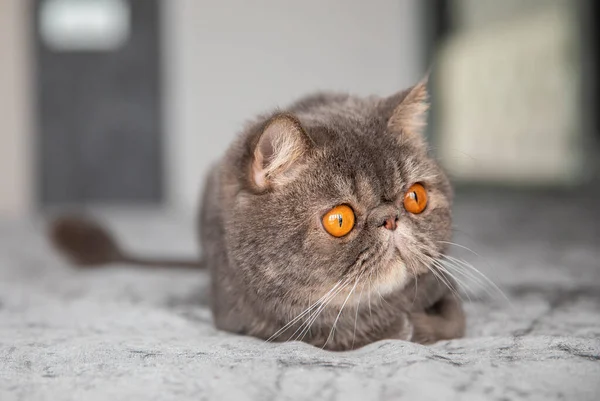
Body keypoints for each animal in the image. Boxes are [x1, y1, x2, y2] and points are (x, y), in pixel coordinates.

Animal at [50, 79, 464, 348]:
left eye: (415, 198)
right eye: (340, 220)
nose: (390, 218)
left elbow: (453, 319)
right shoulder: (256, 321)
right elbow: (343, 331)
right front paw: (403, 327)